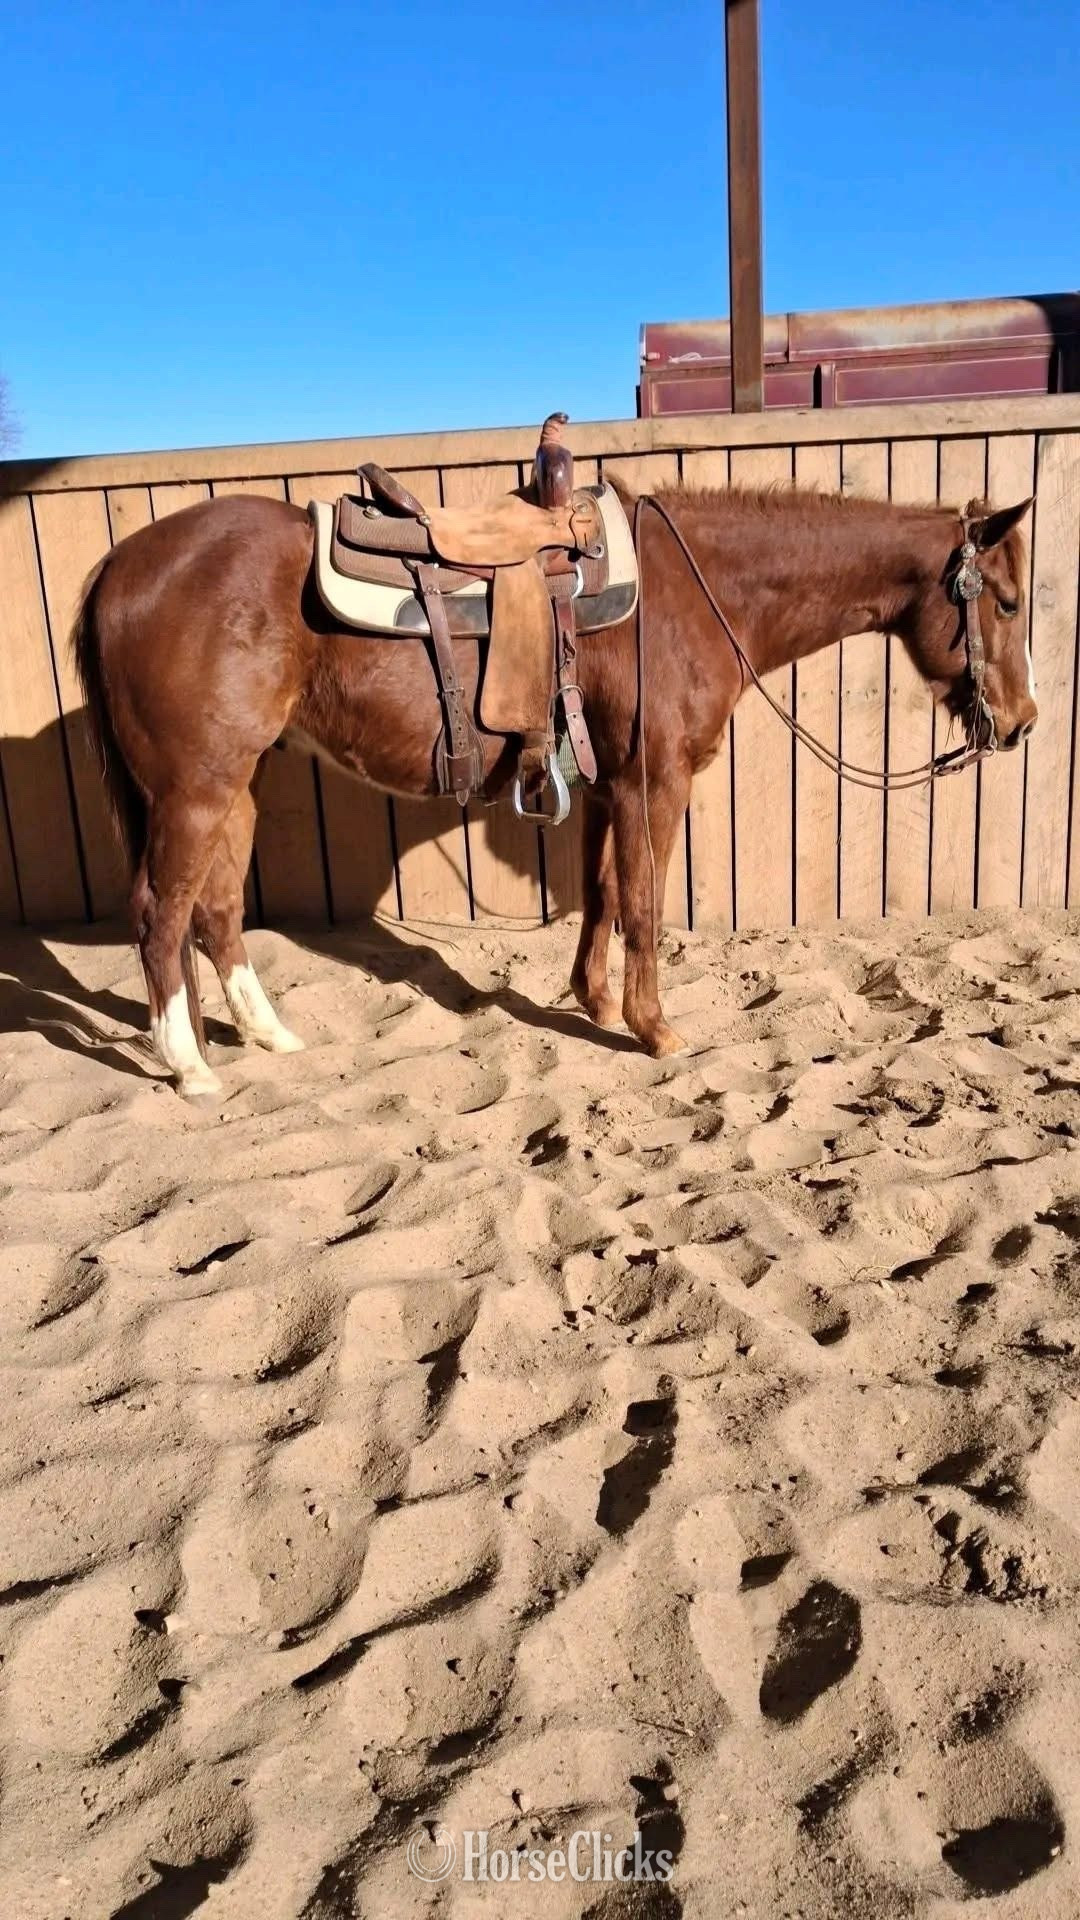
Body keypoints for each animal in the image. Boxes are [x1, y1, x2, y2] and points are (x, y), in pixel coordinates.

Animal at [70, 475, 1036, 1096]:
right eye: (1011, 601)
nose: (1023, 723)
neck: (692, 593)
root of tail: (120, 567)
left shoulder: (608, 787)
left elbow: (601, 891)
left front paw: (596, 1002)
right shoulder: (655, 784)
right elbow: (643, 902)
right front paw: (655, 1028)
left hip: (238, 783)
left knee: (217, 910)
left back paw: (266, 1036)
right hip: (195, 789)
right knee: (161, 914)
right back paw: (191, 1067)